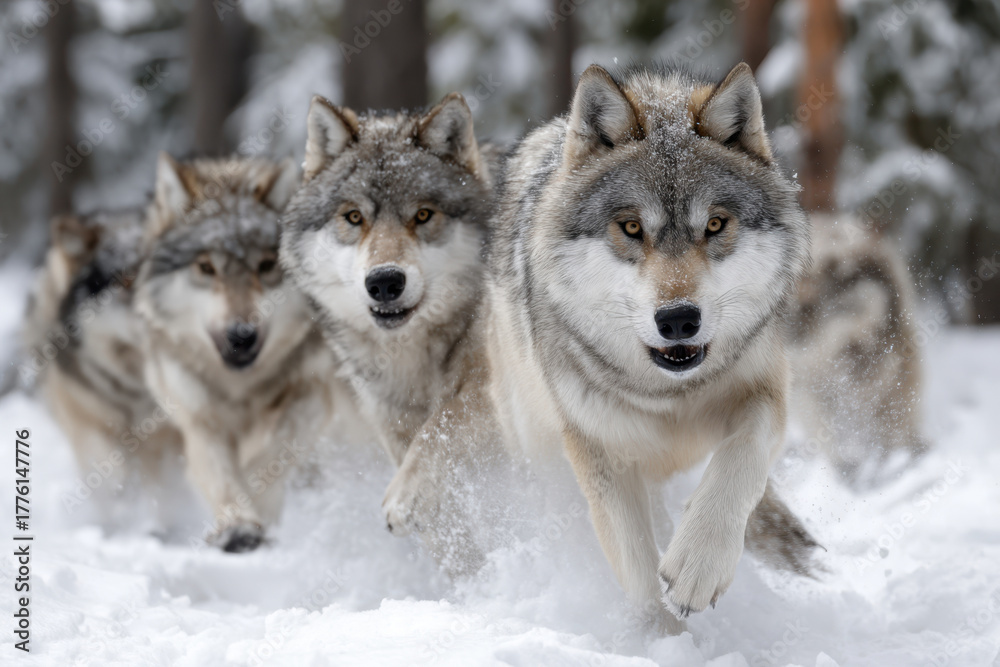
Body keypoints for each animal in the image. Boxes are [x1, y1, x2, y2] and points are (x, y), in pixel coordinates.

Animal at [134, 153, 343, 552]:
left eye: (266, 266)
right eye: (206, 267)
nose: (242, 335)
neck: (240, 386)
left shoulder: (314, 394)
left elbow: (272, 456)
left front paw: (259, 509)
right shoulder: (199, 418)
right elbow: (222, 475)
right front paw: (239, 526)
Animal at [280, 92, 507, 571]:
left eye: (422, 215)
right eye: (353, 217)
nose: (385, 282)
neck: (411, 354)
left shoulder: (491, 388)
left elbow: (443, 426)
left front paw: (408, 499)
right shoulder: (388, 419)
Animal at [486, 62, 818, 625]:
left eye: (714, 224)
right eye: (631, 227)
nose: (679, 320)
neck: (670, 395)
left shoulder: (765, 393)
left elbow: (739, 464)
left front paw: (698, 564)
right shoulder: (600, 451)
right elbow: (637, 571)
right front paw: (660, 635)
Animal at [788, 213, 927, 484]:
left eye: (841, 275)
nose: (798, 311)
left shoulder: (896, 379)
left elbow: (895, 431)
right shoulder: (808, 390)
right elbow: (827, 437)